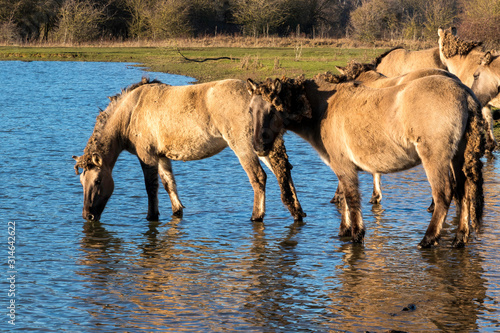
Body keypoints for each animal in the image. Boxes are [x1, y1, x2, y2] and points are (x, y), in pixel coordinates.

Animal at [71, 77, 304, 222]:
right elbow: (168, 184)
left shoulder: (147, 156)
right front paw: (177, 211)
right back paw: (297, 213)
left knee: (259, 178)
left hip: (244, 147)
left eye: (97, 181)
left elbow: (151, 187)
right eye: (82, 182)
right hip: (263, 148)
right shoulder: (162, 156)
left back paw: (257, 216)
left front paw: (151, 216)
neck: (131, 110)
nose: (88, 216)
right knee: (283, 172)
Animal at [249, 74, 484, 246]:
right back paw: (460, 238)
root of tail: (464, 92)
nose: (258, 147)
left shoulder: (344, 166)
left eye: (273, 109)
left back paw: (428, 239)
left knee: (444, 194)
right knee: (463, 191)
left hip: (435, 159)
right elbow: (345, 199)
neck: (325, 108)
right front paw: (344, 231)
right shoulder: (343, 169)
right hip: (457, 158)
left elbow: (352, 199)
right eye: (251, 110)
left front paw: (356, 235)